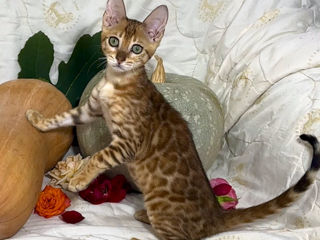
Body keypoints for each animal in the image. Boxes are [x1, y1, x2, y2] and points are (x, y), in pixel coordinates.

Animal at [26, 0, 320, 239]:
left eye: (136, 48)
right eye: (113, 41)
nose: (119, 59)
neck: (116, 81)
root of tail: (216, 214)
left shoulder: (128, 142)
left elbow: (98, 156)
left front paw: (79, 179)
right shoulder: (90, 109)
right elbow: (64, 116)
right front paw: (37, 119)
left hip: (162, 209)